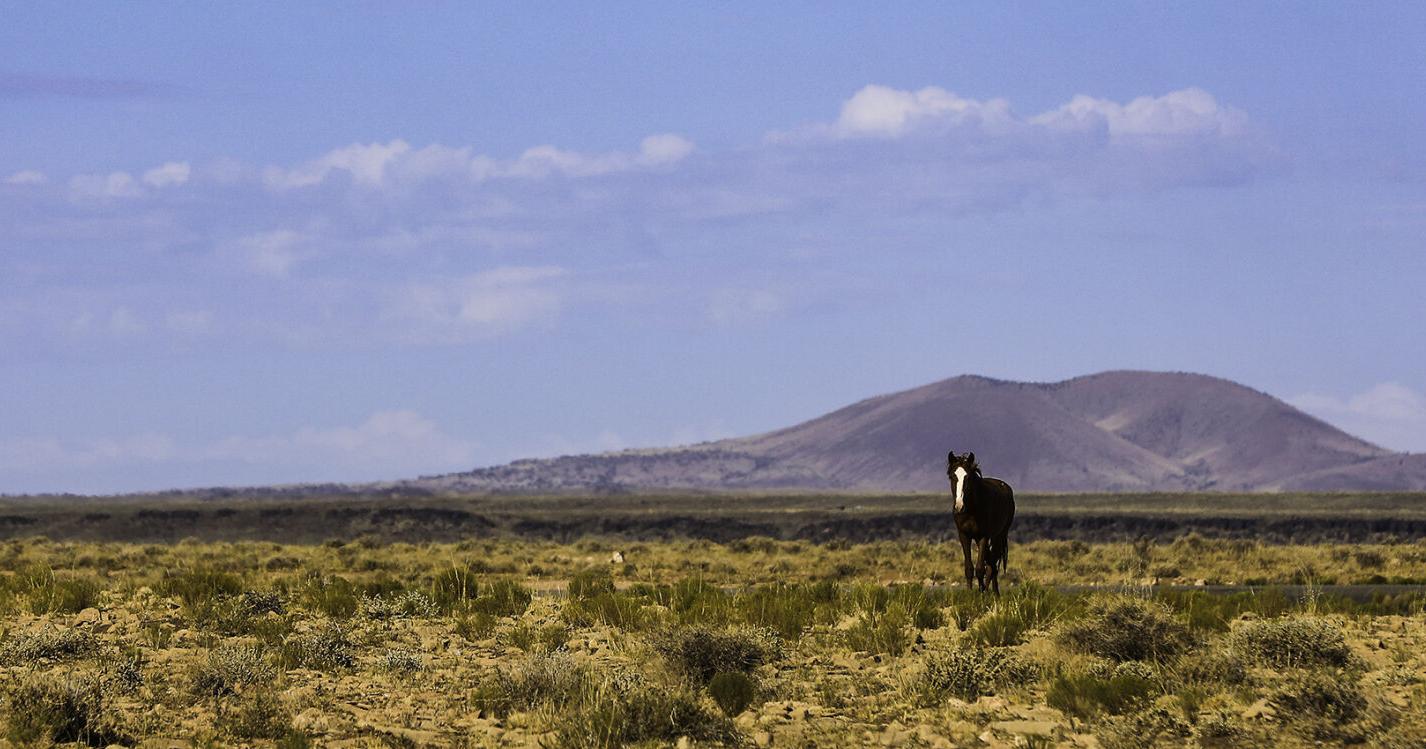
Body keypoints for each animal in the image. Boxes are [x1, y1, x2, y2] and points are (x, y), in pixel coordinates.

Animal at [948, 451, 1015, 594]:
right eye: (952, 476)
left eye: (968, 477)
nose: (959, 507)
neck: (971, 510)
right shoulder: (964, 535)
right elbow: (969, 568)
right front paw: (970, 593)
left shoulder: (984, 536)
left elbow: (980, 568)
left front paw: (981, 593)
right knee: (991, 562)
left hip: (999, 535)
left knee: (993, 562)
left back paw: (994, 592)